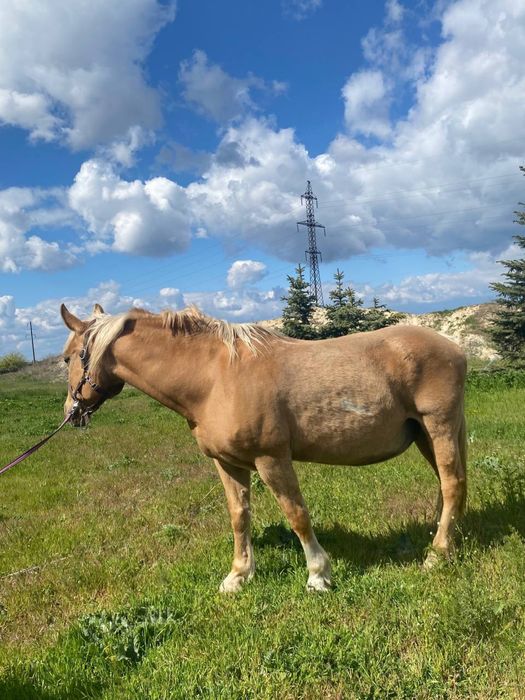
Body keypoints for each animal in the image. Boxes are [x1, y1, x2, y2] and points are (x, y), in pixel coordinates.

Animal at [60, 302, 467, 592]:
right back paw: (444, 539)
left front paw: (318, 575)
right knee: (449, 487)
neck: (214, 379)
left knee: (452, 485)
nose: (71, 412)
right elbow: (239, 517)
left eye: (66, 358)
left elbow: (297, 514)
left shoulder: (271, 459)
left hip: (439, 426)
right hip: (424, 435)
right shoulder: (228, 464)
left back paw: (437, 555)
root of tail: (455, 348)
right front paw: (239, 575)